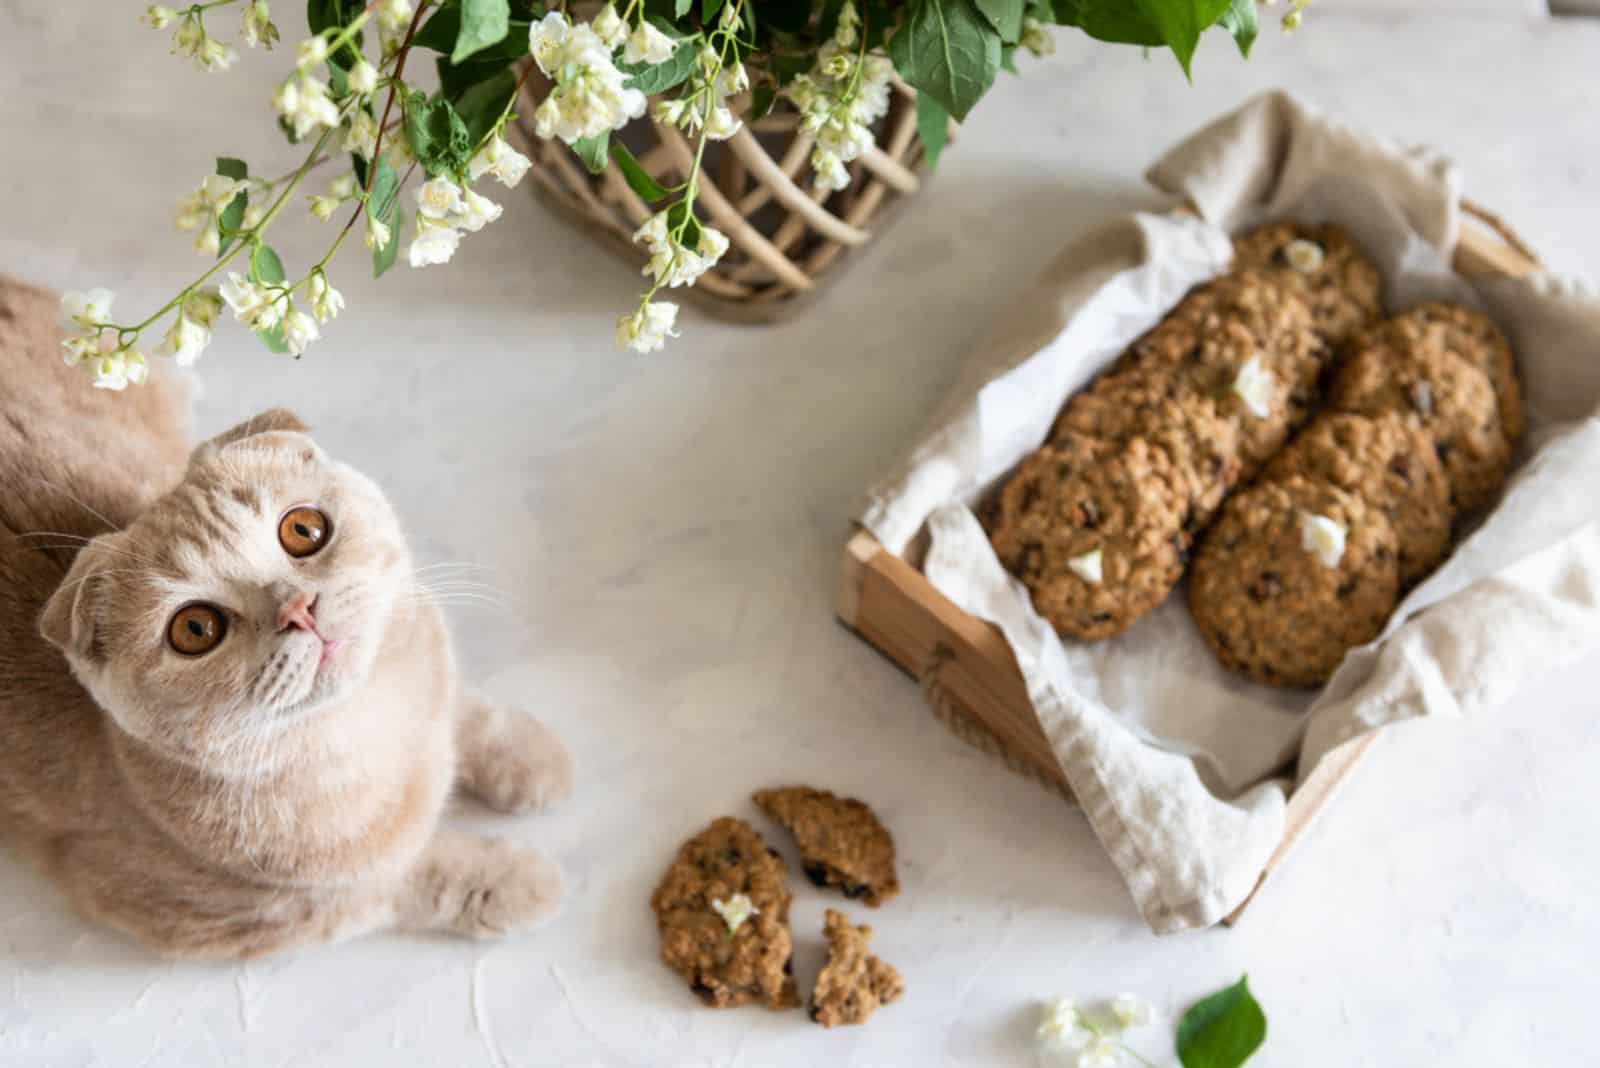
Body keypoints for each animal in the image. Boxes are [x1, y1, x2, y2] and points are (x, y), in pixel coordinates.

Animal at [0, 278, 576, 959]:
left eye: (302, 529)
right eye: (195, 629)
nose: (298, 608)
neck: (372, 728)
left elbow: (471, 710)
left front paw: (532, 757)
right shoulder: (246, 911)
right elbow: (405, 879)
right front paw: (518, 880)